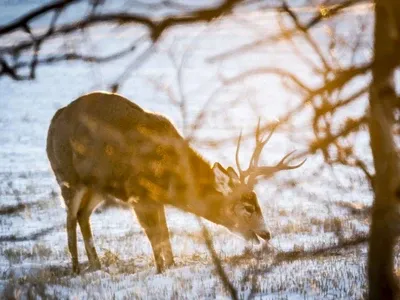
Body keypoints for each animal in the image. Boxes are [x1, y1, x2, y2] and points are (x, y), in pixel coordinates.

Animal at [45, 91, 304, 274]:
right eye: (248, 207)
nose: (267, 234)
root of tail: (54, 120)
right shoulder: (138, 195)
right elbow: (154, 235)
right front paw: (160, 270)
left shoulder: (154, 199)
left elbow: (165, 233)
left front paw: (171, 265)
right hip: (66, 176)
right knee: (70, 218)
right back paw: (76, 268)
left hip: (97, 186)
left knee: (83, 215)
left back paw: (96, 265)